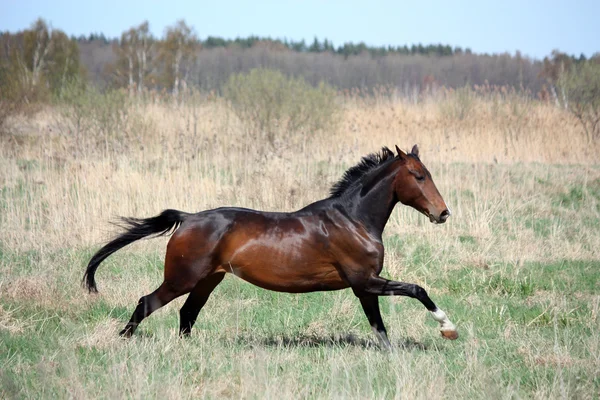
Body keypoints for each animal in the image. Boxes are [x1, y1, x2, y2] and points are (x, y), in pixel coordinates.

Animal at [84, 145, 458, 348]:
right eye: (419, 176)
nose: (442, 213)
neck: (353, 219)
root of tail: (188, 218)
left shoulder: (364, 286)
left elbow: (379, 327)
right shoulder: (365, 281)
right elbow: (417, 289)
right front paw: (447, 327)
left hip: (208, 280)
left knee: (187, 313)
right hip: (183, 278)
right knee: (147, 303)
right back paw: (122, 340)